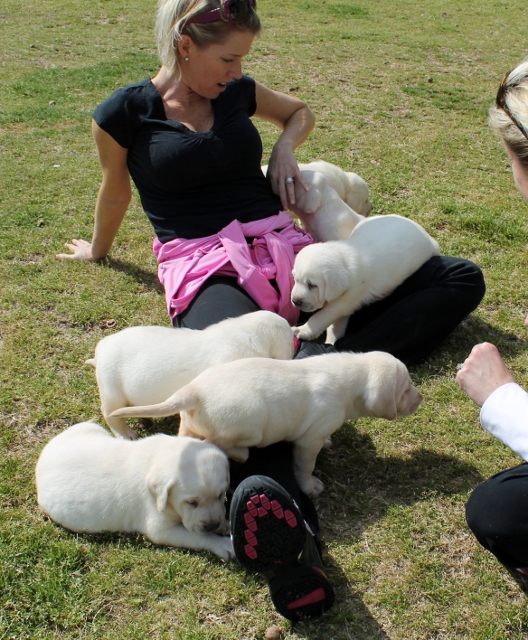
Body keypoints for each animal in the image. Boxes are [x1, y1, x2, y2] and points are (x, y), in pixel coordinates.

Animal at [36, 424, 234, 560]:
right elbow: (198, 537)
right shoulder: (160, 528)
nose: (212, 525)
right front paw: (221, 543)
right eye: (191, 503)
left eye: (220, 495)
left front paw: (225, 524)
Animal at [110, 352, 420, 498]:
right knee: (216, 445)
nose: (421, 398)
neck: (351, 378)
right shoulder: (307, 442)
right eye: (405, 388)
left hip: (190, 420)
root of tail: (194, 391)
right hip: (251, 420)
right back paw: (241, 452)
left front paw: (330, 442)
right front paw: (310, 486)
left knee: (187, 438)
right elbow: (304, 466)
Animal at [290, 214, 440, 344]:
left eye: (312, 285)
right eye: (295, 279)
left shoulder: (344, 302)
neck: (344, 261)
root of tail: (429, 238)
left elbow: (320, 317)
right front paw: (331, 342)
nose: (295, 301)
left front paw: (302, 330)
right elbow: (335, 326)